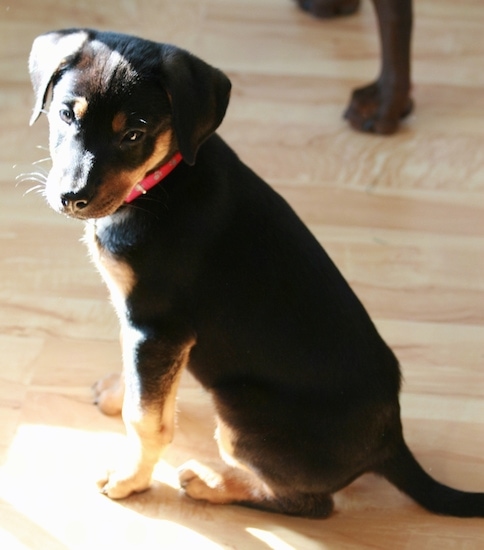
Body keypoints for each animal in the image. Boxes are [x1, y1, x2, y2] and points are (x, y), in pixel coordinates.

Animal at [28, 29, 482, 520]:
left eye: (134, 134)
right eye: (65, 113)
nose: (72, 198)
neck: (161, 182)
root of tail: (390, 442)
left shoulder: (157, 327)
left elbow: (146, 419)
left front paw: (131, 479)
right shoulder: (141, 329)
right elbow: (141, 390)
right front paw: (116, 391)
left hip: (241, 410)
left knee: (311, 503)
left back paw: (212, 483)